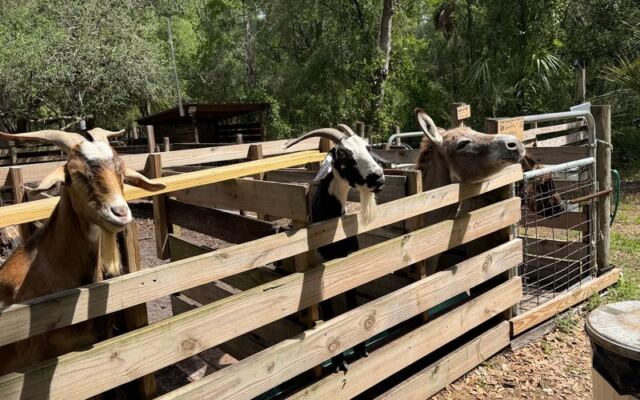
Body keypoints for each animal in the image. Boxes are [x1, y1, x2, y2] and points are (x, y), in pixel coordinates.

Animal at [285, 124, 385, 370]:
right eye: (344, 155)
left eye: (368, 147)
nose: (378, 177)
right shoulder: (323, 276)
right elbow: (331, 315)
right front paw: (339, 361)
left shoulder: (348, 264)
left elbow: (351, 303)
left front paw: (361, 348)